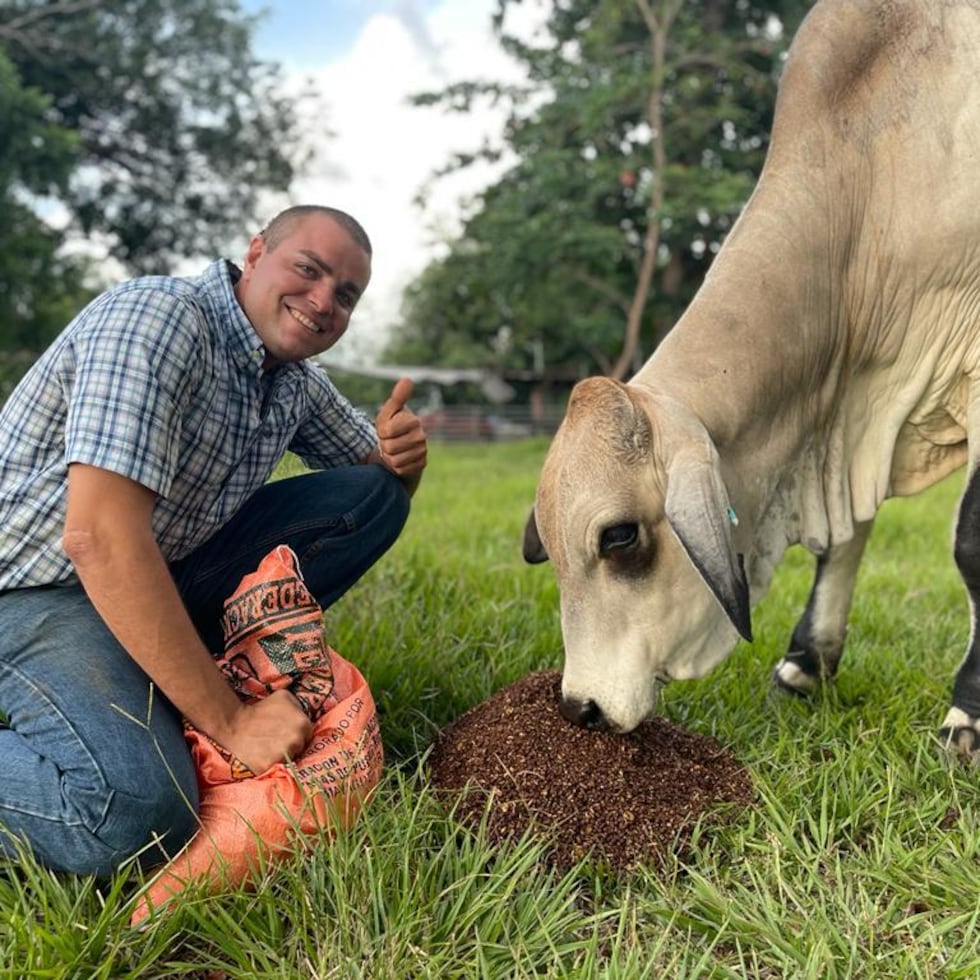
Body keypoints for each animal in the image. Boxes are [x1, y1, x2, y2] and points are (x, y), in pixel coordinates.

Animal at [528, 0, 980, 756]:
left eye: (619, 538)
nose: (578, 707)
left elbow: (970, 542)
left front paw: (967, 714)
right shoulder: (854, 419)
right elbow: (843, 539)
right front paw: (804, 667)